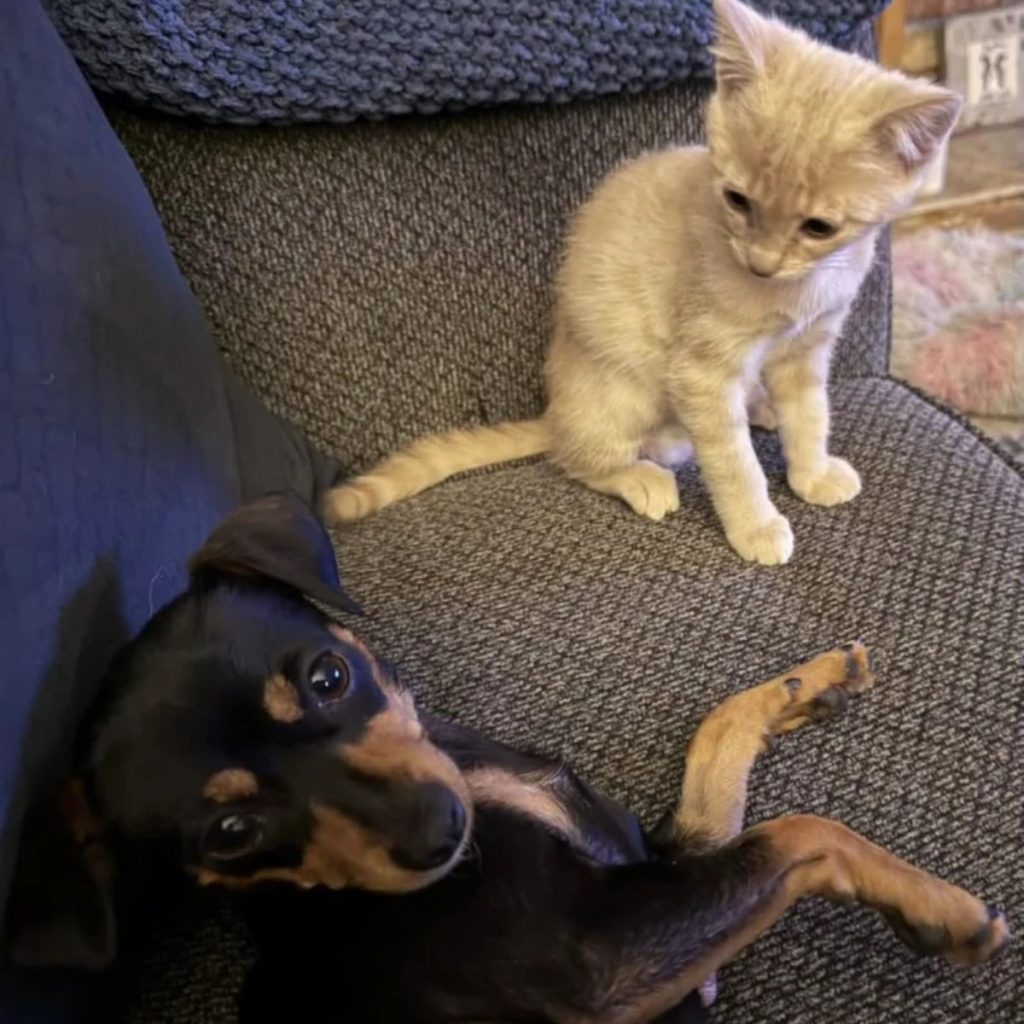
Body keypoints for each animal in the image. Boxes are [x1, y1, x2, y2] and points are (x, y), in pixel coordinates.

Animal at [46, 495, 1007, 1015]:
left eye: (327, 676)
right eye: (230, 833)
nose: (441, 835)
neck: (480, 776)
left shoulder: (657, 863)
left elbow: (717, 741)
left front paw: (809, 682)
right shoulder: (611, 961)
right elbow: (805, 831)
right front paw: (943, 908)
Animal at [327, 0, 958, 565]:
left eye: (819, 227)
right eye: (737, 200)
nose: (759, 263)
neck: (796, 291)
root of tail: (557, 413)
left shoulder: (807, 349)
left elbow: (811, 416)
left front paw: (811, 471)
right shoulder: (701, 371)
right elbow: (733, 461)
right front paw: (755, 524)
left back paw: (759, 407)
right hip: (623, 391)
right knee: (578, 458)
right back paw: (639, 475)